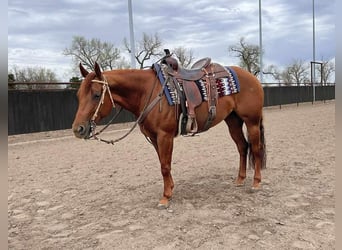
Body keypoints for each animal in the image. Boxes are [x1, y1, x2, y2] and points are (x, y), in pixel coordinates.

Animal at [72, 60, 266, 207]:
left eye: (96, 95)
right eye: (78, 95)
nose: (78, 129)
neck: (147, 92)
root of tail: (252, 78)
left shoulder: (164, 136)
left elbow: (165, 166)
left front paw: (165, 197)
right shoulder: (154, 138)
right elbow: (162, 164)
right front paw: (170, 189)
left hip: (252, 122)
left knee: (256, 149)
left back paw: (256, 182)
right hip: (233, 121)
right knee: (242, 147)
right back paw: (240, 179)